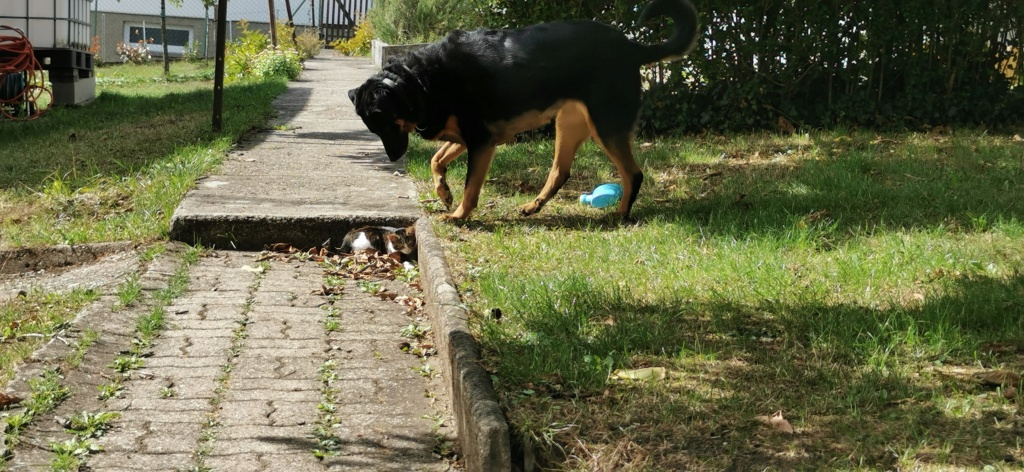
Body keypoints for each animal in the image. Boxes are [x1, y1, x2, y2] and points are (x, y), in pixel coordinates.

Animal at [350, 0, 696, 221]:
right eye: (374, 128)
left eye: (385, 123)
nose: (393, 159)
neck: (420, 80)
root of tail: (632, 47)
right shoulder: (474, 138)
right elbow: (437, 160)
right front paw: (444, 193)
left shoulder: (480, 142)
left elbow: (470, 185)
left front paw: (459, 214)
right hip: (568, 125)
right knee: (560, 171)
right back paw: (533, 206)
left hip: (606, 127)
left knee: (632, 173)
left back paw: (621, 214)